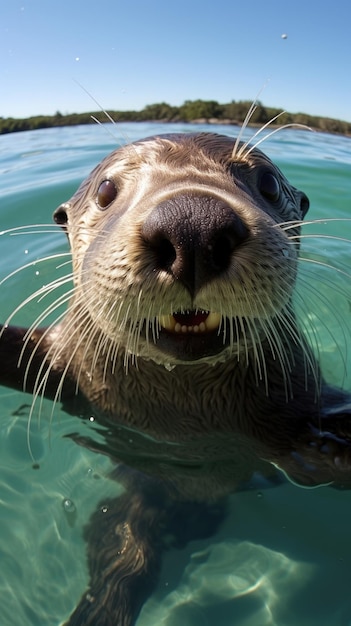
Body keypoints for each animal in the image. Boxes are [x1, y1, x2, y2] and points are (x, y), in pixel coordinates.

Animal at [0, 129, 351, 620]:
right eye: (106, 190)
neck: (185, 417)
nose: (193, 224)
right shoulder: (67, 364)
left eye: (267, 183)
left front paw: (331, 447)